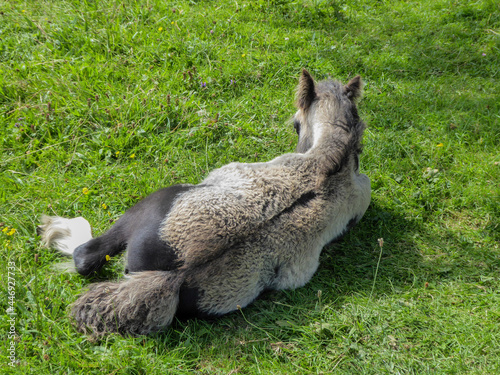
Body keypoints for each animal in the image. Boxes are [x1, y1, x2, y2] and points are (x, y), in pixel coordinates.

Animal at [40, 69, 372, 336]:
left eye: (295, 123)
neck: (335, 160)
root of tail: (174, 276)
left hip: (155, 201)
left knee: (85, 256)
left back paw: (60, 229)